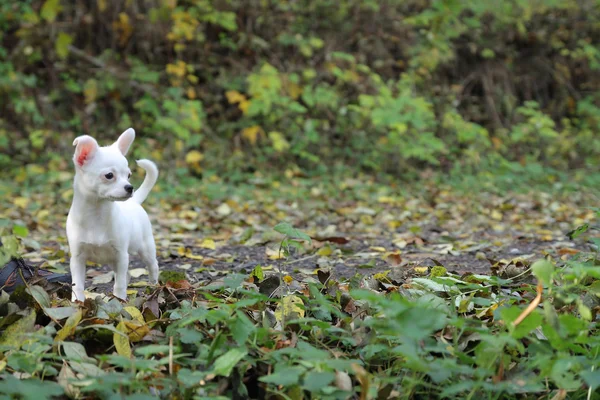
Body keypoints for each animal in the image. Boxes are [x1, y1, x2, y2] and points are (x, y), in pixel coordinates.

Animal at [67, 128, 159, 300]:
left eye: (128, 175)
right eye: (109, 175)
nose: (130, 187)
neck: (96, 214)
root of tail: (135, 201)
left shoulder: (121, 255)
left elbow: (120, 284)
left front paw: (120, 300)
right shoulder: (77, 258)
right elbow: (78, 285)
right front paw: (77, 301)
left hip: (145, 248)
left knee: (153, 267)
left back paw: (154, 287)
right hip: (113, 260)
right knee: (127, 274)